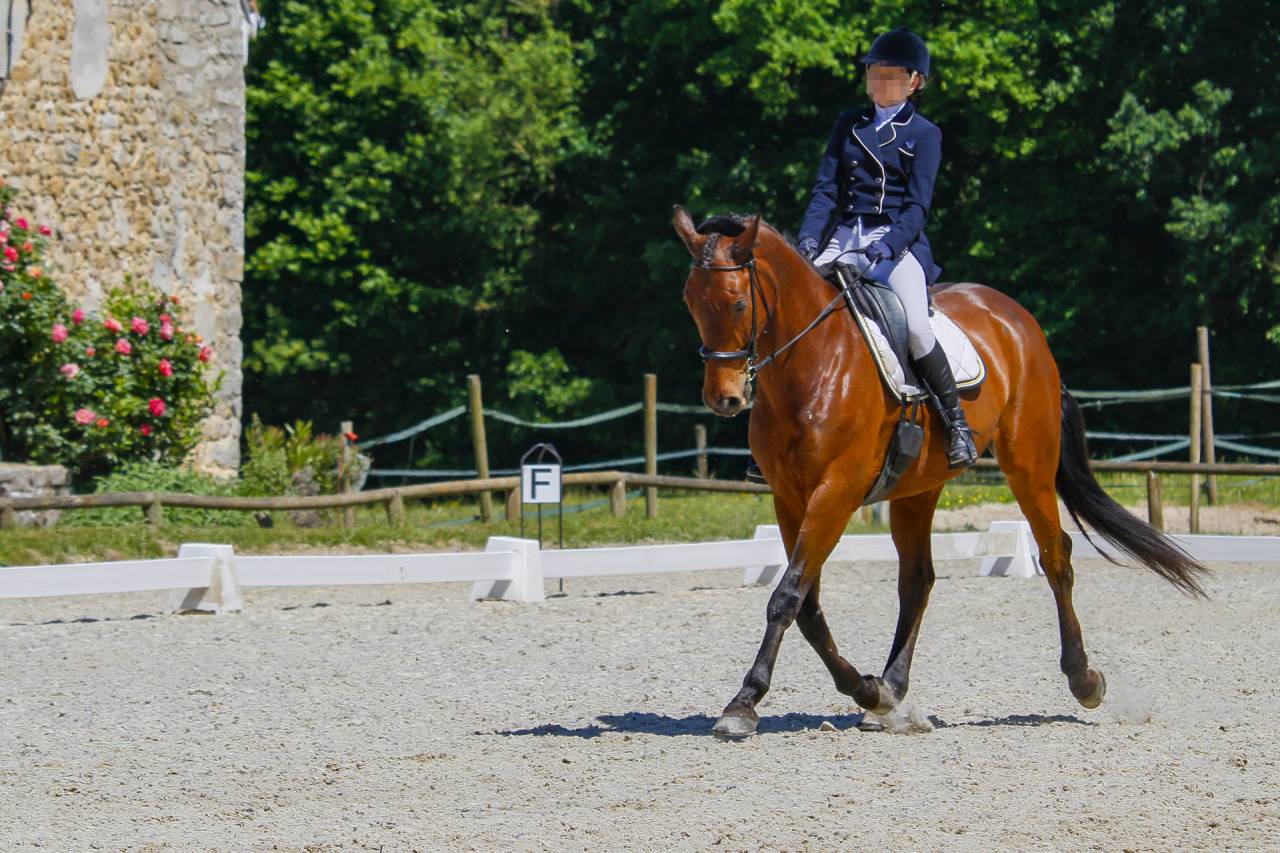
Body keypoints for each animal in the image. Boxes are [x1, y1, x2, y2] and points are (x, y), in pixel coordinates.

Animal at [672, 206, 1207, 738]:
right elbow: (806, 605)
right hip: (917, 488)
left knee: (1056, 556)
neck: (812, 364)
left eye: (738, 304)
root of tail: (1018, 319)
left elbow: (787, 597)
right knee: (918, 580)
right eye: (691, 304)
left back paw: (1084, 680)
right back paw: (891, 692)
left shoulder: (835, 492)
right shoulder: (789, 498)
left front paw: (744, 704)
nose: (724, 399)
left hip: (1028, 464)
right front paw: (867, 691)